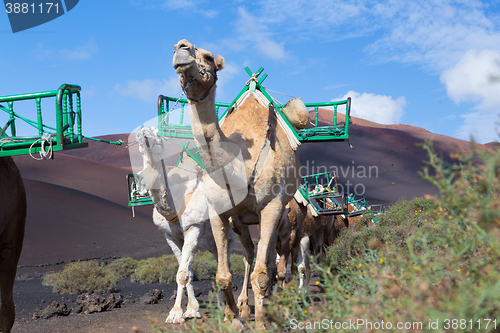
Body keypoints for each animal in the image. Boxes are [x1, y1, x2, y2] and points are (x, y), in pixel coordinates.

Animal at [135, 127, 236, 322]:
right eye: (139, 135)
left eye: (157, 135)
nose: (145, 134)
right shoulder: (170, 236)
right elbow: (187, 272)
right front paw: (191, 310)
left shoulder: (193, 227)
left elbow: (182, 274)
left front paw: (175, 314)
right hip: (210, 238)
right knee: (218, 258)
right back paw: (222, 305)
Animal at [172, 39, 300, 324]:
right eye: (174, 50)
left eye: (208, 57)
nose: (180, 47)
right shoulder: (219, 212)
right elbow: (222, 274)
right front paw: (232, 317)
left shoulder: (271, 206)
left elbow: (262, 274)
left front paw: (263, 321)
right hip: (240, 221)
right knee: (251, 254)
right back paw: (244, 306)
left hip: (281, 215)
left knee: (273, 259)